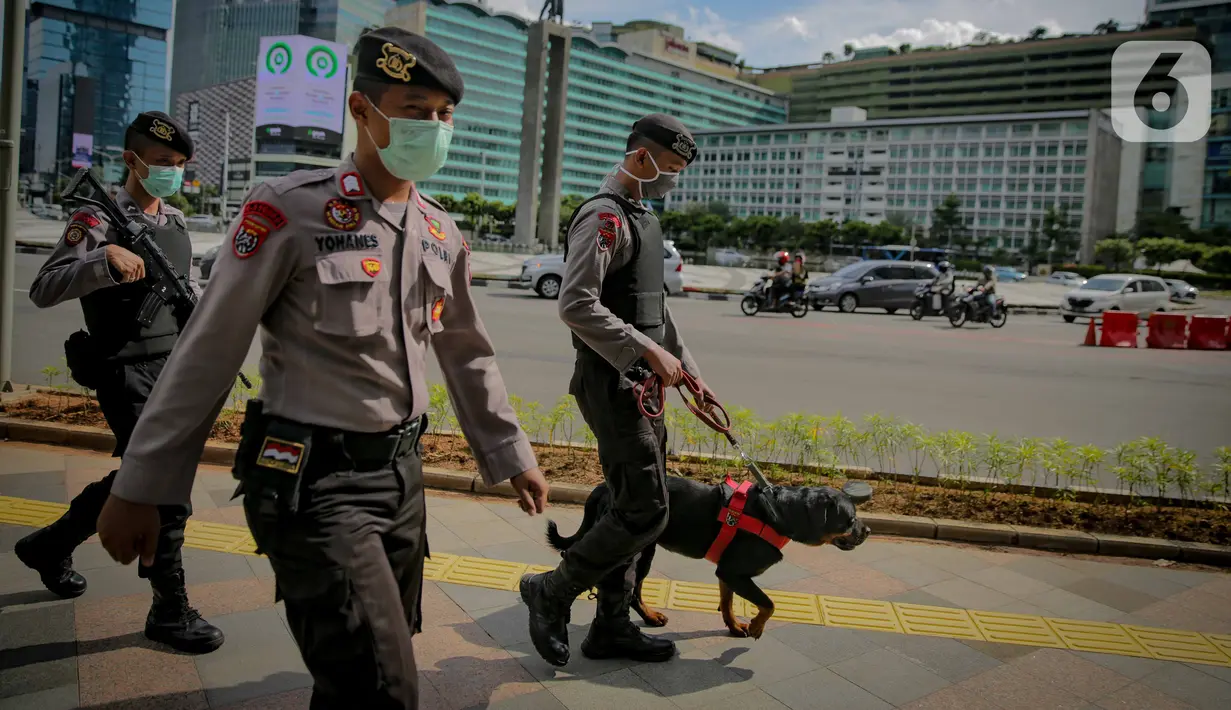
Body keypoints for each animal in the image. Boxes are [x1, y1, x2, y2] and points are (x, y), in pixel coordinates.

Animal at [544, 472, 871, 639]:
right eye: (850, 519)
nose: (867, 530)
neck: (779, 513)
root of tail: (600, 488)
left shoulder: (727, 571)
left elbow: (727, 601)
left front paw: (735, 626)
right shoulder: (736, 572)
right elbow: (769, 604)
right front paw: (756, 626)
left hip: (645, 547)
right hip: (634, 547)